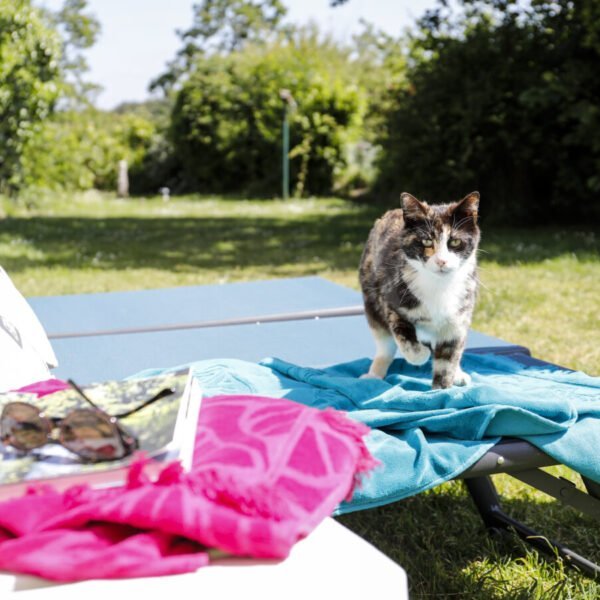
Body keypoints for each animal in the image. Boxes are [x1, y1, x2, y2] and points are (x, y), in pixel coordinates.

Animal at [358, 192, 480, 390]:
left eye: (455, 241)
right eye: (427, 241)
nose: (441, 261)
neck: (439, 286)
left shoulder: (459, 317)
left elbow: (448, 360)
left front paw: (442, 390)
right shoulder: (392, 302)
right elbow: (405, 339)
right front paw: (421, 355)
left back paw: (458, 374)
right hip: (371, 300)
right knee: (384, 342)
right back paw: (374, 373)